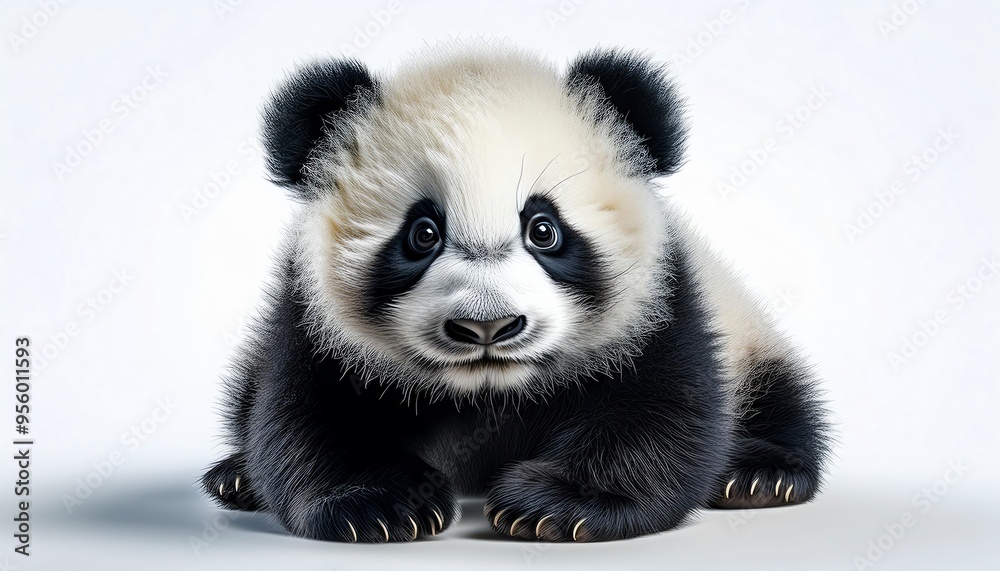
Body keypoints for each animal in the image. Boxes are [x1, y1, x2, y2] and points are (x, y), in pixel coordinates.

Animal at [201, 42, 830, 543]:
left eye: (543, 229)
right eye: (422, 234)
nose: (488, 327)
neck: (488, 392)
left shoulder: (660, 299)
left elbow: (665, 410)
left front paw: (553, 506)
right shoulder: (313, 319)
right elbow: (302, 418)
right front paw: (382, 505)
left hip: (745, 332)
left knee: (779, 397)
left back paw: (758, 475)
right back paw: (235, 477)